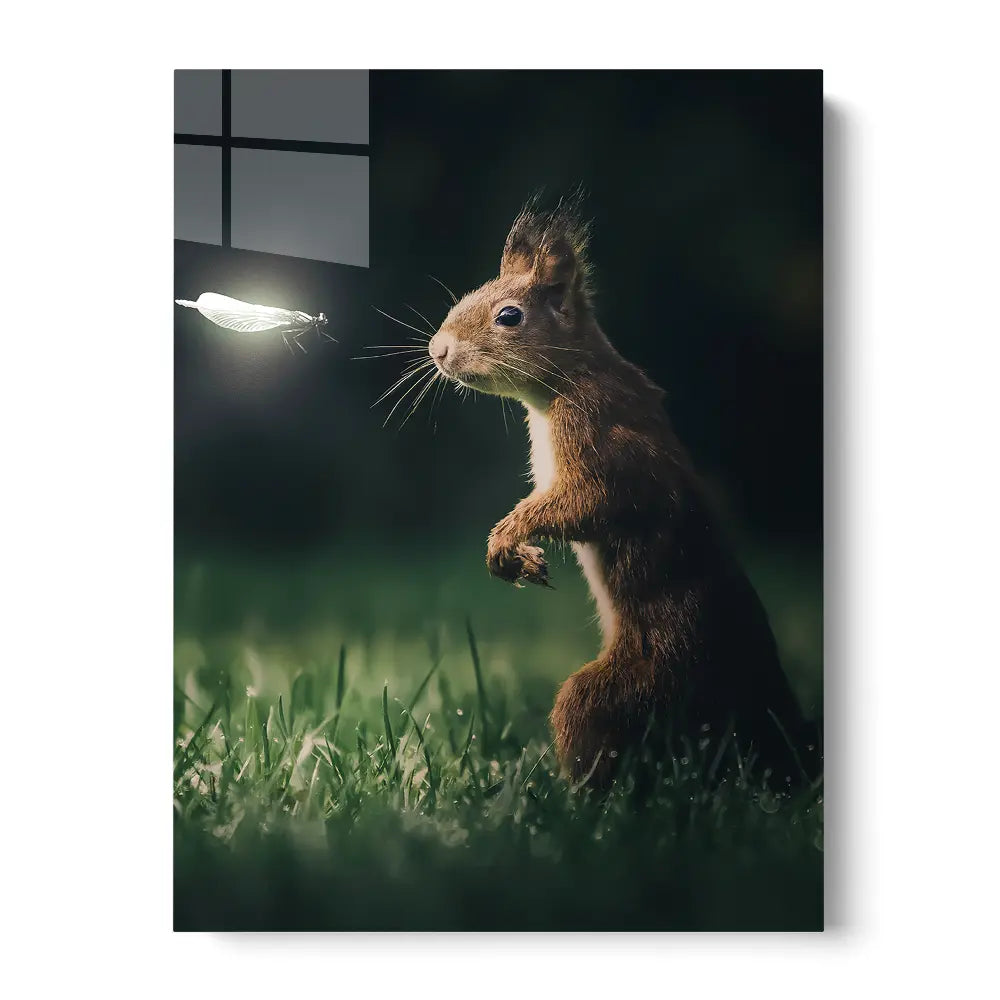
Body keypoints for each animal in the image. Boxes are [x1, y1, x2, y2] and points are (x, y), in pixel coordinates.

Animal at [428, 194, 814, 789]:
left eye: (509, 316)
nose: (437, 350)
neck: (570, 378)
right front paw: (518, 551)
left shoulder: (602, 439)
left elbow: (590, 503)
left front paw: (508, 536)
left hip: (639, 683)